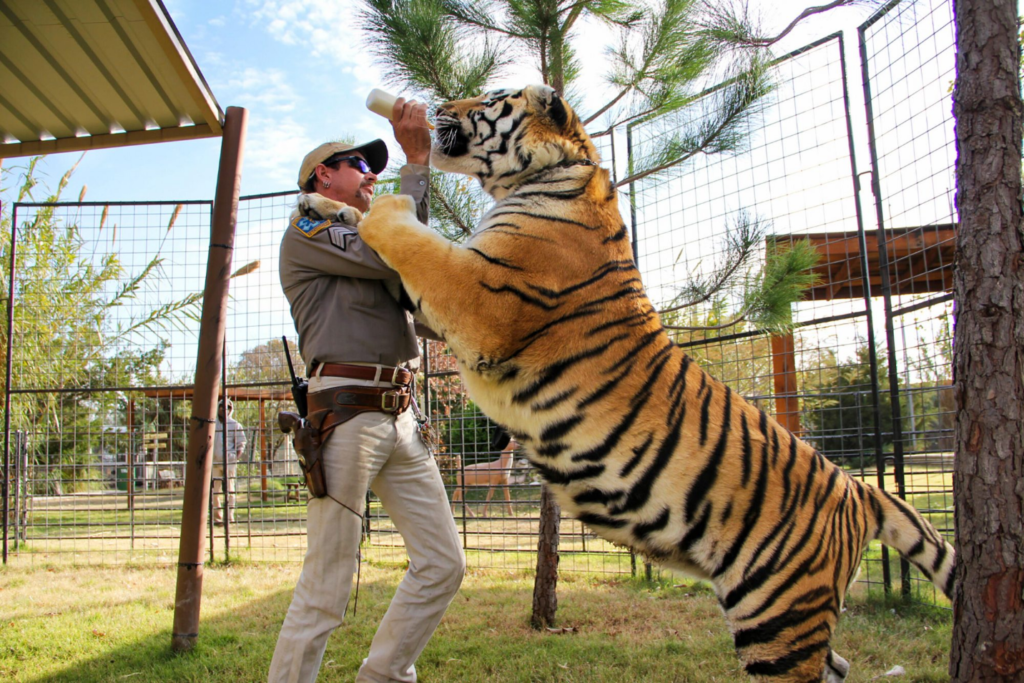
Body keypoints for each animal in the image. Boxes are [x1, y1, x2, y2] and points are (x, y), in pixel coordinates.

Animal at [355, 84, 955, 682]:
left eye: (490, 98)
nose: (437, 108)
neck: (547, 175)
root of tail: (859, 490)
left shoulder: (481, 298)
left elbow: (413, 240)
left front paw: (375, 204)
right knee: (839, 664)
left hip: (778, 614)